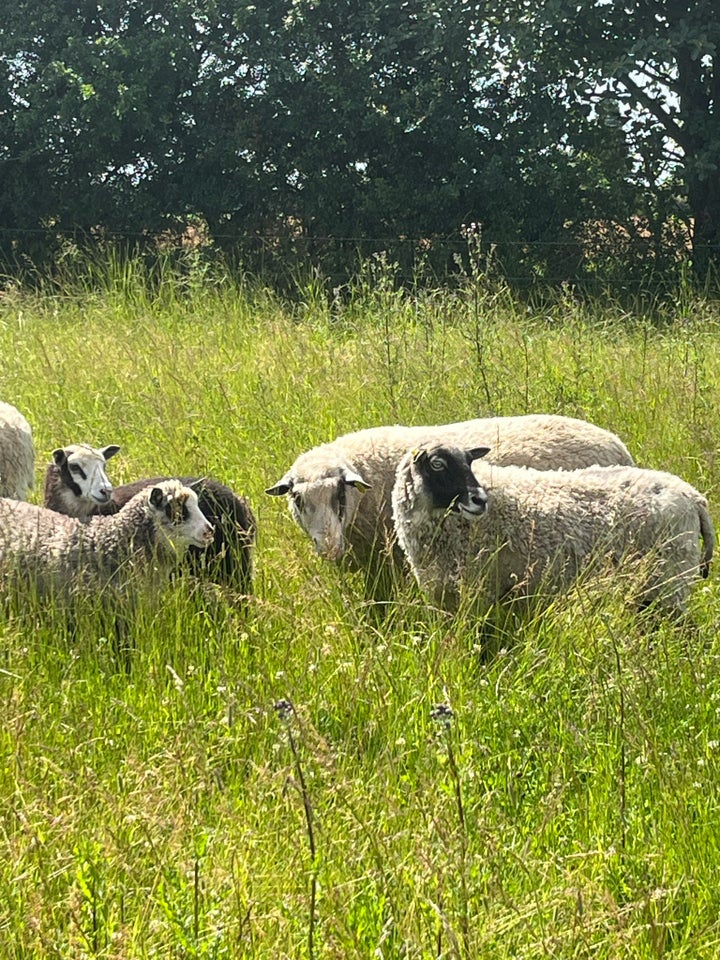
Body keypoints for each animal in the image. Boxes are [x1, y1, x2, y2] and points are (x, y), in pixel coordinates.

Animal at [390, 442, 716, 616]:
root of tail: (693, 497)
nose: (479, 499)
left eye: (470, 462)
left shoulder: (480, 593)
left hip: (670, 580)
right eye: (437, 464)